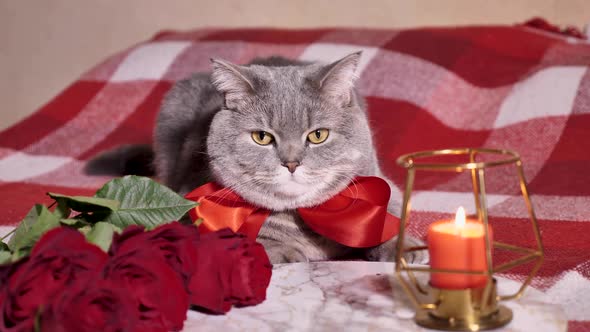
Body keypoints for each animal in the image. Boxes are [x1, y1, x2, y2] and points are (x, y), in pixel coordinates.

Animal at [85, 52, 426, 264]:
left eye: (318, 135)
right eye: (262, 137)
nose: (291, 163)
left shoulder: (381, 188)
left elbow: (388, 221)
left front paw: (407, 246)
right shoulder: (188, 206)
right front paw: (281, 249)